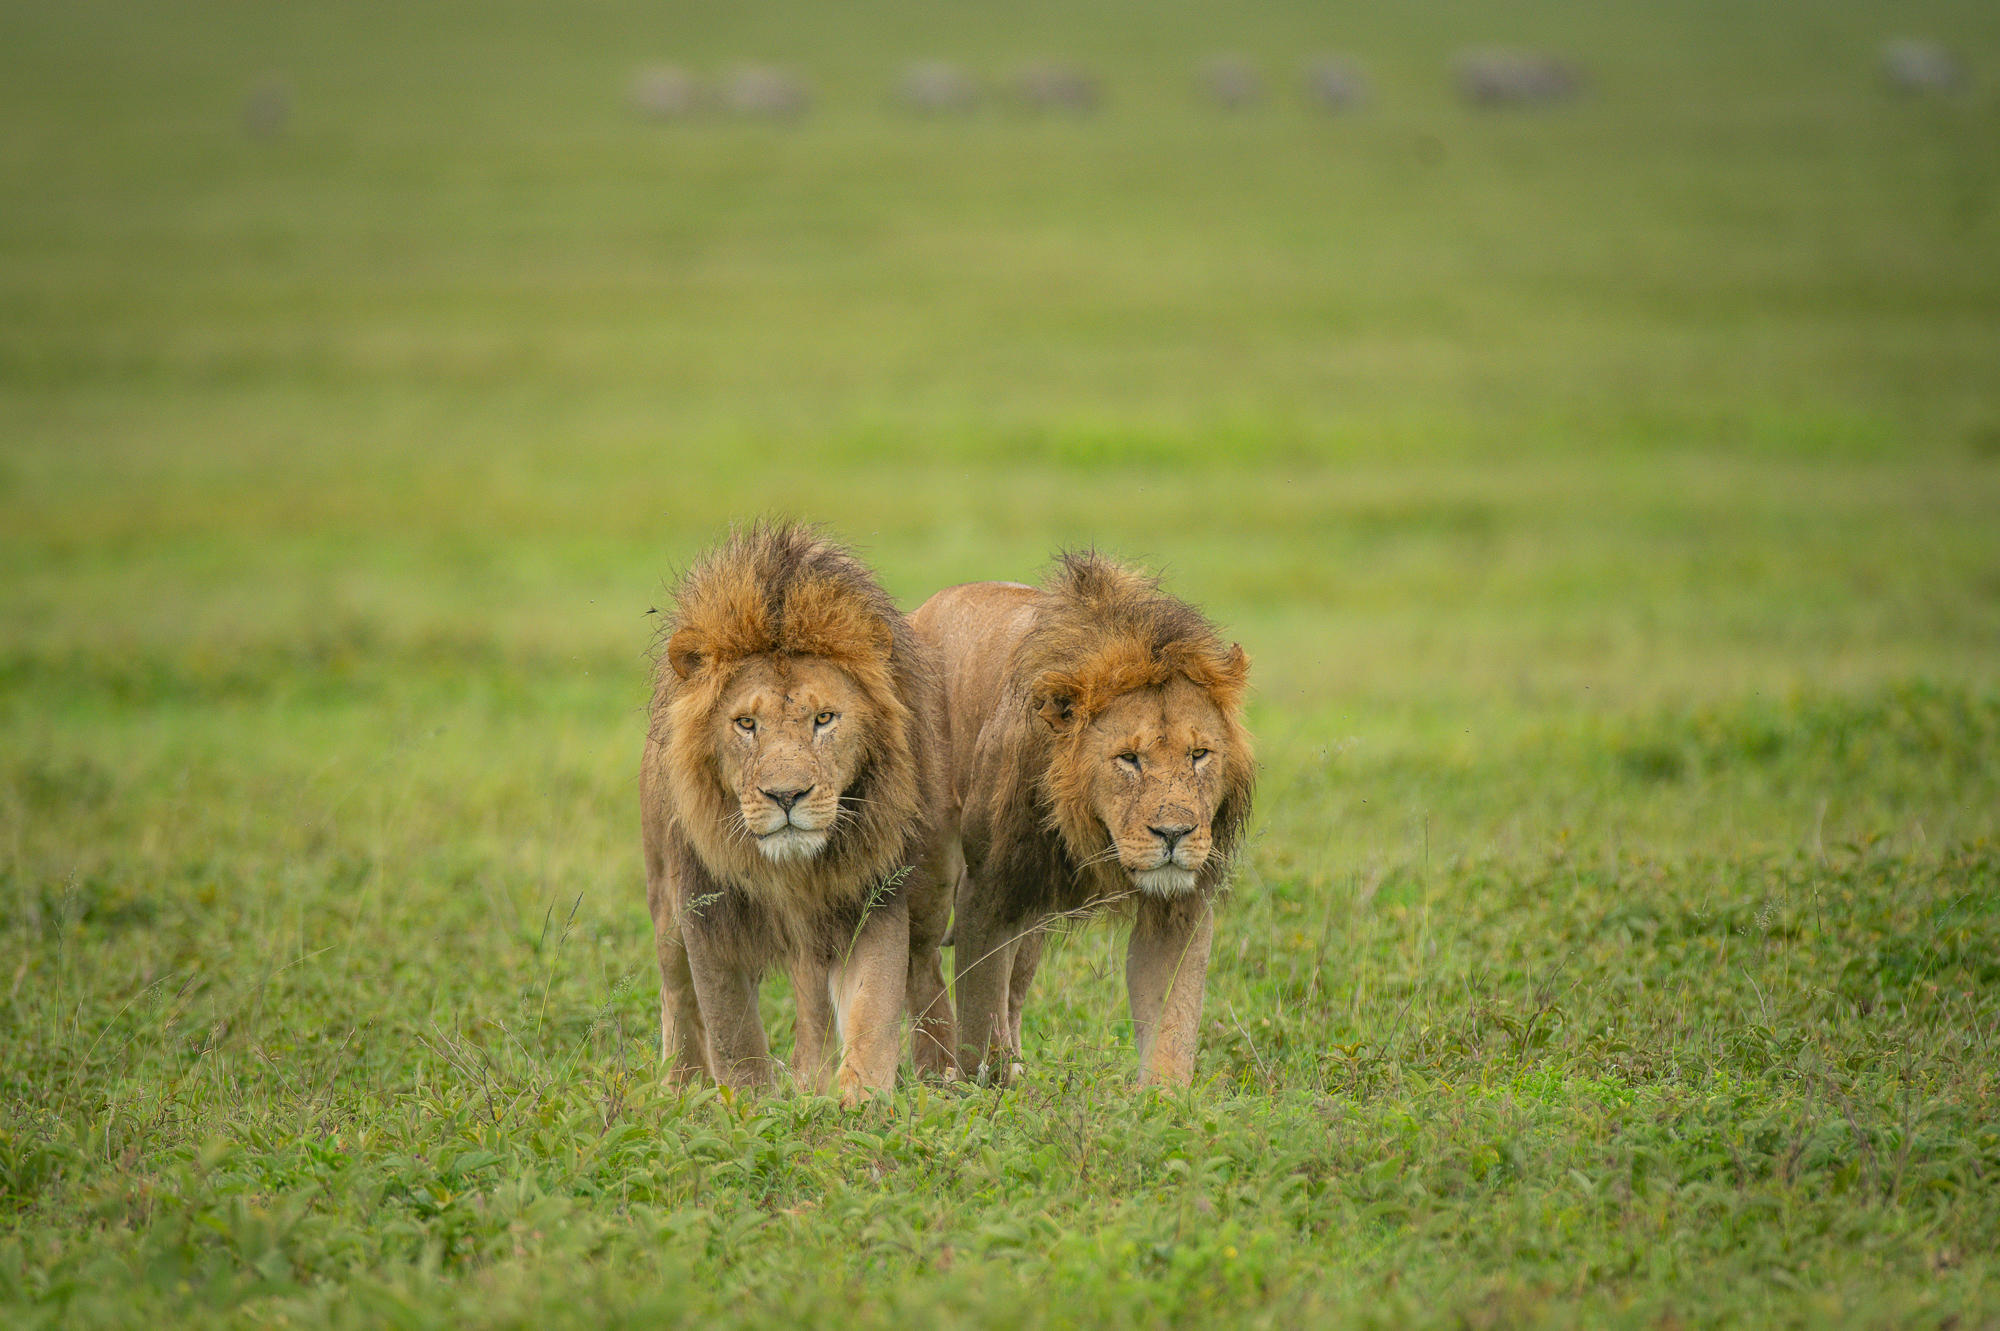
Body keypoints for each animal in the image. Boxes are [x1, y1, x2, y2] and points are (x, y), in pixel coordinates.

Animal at [641, 523, 954, 1105]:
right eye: (745, 724)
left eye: (824, 718)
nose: (786, 796)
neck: (793, 872)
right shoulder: (704, 907)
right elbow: (731, 1025)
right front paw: (750, 1104)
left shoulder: (872, 895)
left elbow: (873, 1008)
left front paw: (861, 1100)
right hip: (663, 901)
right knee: (676, 990)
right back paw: (680, 1084)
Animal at [909, 553, 1255, 1087]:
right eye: (1128, 759)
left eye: (1199, 754)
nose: (1174, 834)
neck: (1092, 833)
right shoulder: (987, 889)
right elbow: (979, 1008)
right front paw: (985, 1086)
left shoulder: (1179, 903)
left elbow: (1172, 1019)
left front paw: (1164, 1099)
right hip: (932, 866)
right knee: (921, 958)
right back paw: (937, 1068)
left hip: (1033, 917)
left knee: (1013, 986)